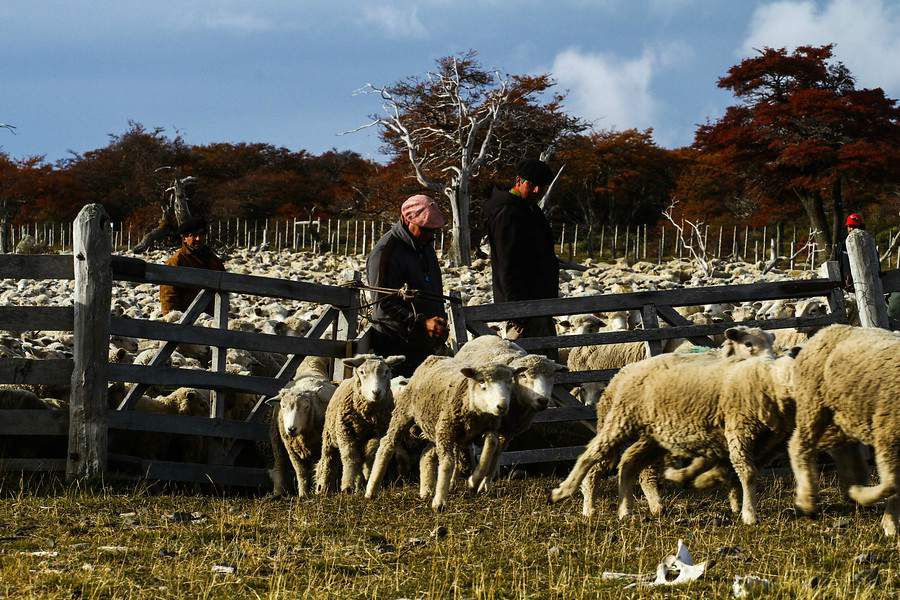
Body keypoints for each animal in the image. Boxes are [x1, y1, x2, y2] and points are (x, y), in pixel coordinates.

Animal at [312, 354, 404, 494]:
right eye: (362, 372)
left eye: (386, 372)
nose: (376, 392)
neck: (367, 417)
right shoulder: (345, 432)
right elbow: (349, 457)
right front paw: (347, 486)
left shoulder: (379, 432)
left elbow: (371, 455)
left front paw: (367, 479)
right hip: (329, 436)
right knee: (328, 459)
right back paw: (323, 487)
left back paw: (359, 484)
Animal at [366, 356, 520, 510]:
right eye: (481, 381)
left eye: (509, 382)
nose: (502, 406)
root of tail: (432, 358)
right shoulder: (446, 431)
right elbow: (447, 463)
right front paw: (439, 502)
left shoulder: (487, 428)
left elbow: (491, 444)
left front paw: (474, 481)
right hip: (404, 414)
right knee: (387, 444)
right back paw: (371, 490)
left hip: (434, 429)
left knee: (426, 454)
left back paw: (426, 491)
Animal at [454, 336, 568, 490]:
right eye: (523, 375)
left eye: (552, 375)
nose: (543, 400)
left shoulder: (509, 433)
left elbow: (497, 453)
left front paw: (486, 482)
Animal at [552, 326, 776, 524]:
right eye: (748, 343)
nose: (770, 363)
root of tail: (619, 375)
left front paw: (737, 504)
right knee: (607, 468)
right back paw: (591, 508)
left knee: (637, 468)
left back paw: (644, 506)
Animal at [788, 326, 900, 536]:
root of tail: (825, 330)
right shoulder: (888, 433)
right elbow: (892, 483)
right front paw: (889, 522)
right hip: (812, 403)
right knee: (799, 446)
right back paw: (808, 500)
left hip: (844, 413)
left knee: (842, 449)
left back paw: (851, 485)